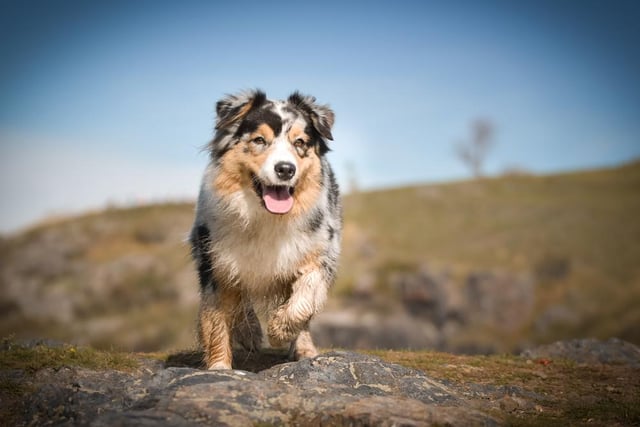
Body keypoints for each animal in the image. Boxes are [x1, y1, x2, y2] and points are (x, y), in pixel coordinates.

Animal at [189, 91, 342, 372]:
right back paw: (249, 332)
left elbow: (305, 298)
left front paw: (280, 331)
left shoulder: (320, 251)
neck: (266, 217)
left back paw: (303, 349)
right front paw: (219, 367)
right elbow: (216, 320)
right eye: (259, 140)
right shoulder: (213, 261)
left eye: (300, 142)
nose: (285, 169)